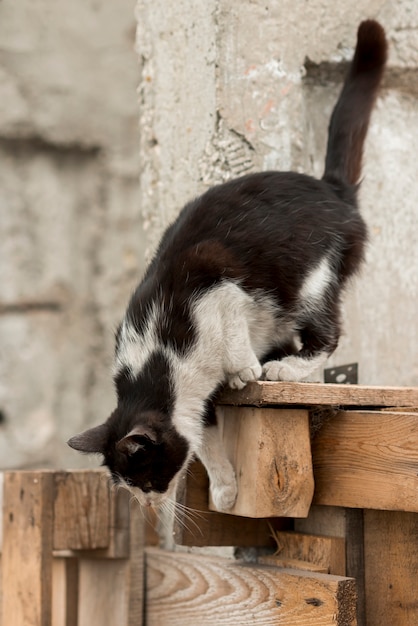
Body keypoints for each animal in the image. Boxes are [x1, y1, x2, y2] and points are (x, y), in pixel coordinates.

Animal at [68, 22, 386, 516]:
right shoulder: (197, 401)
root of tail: (332, 191)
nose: (149, 507)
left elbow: (232, 318)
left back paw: (283, 368)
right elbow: (205, 439)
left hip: (311, 276)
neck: (162, 357)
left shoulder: (213, 276)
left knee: (327, 333)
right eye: (132, 487)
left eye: (145, 478)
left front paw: (245, 368)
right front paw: (224, 488)